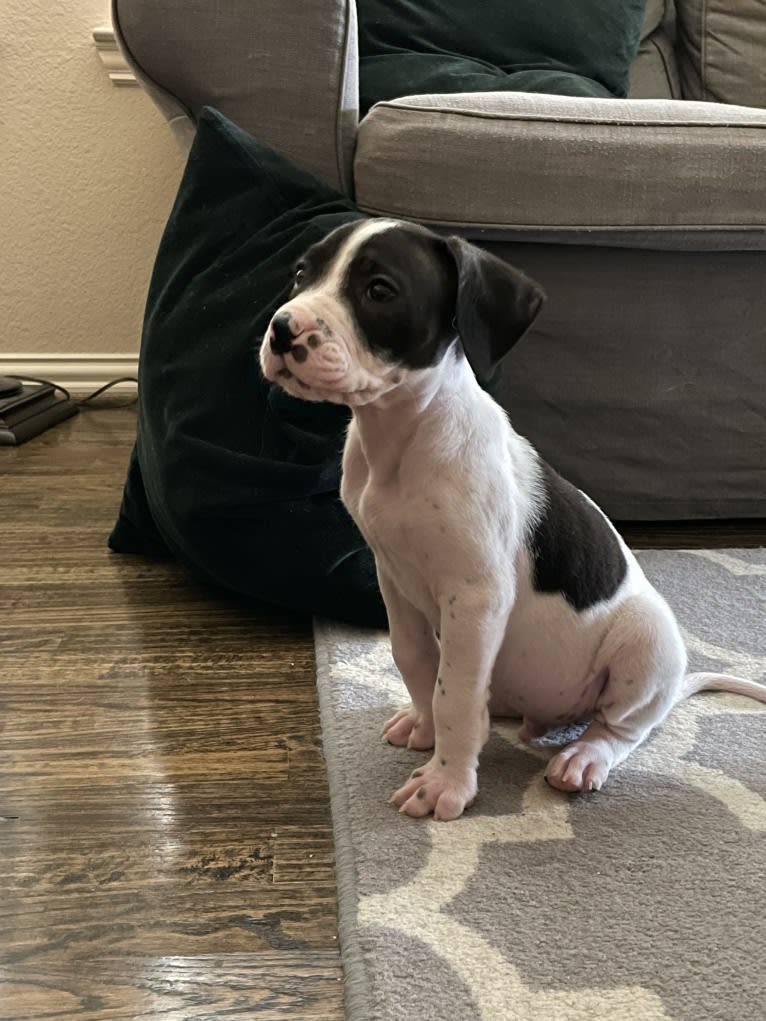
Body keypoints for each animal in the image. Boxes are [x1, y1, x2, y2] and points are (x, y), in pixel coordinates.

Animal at [259, 221, 766, 820]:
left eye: (380, 290)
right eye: (301, 273)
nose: (282, 329)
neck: (404, 437)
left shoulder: (476, 595)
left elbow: (453, 694)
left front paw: (446, 783)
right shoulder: (393, 578)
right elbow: (415, 661)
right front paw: (427, 726)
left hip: (646, 640)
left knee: (622, 726)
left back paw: (584, 756)